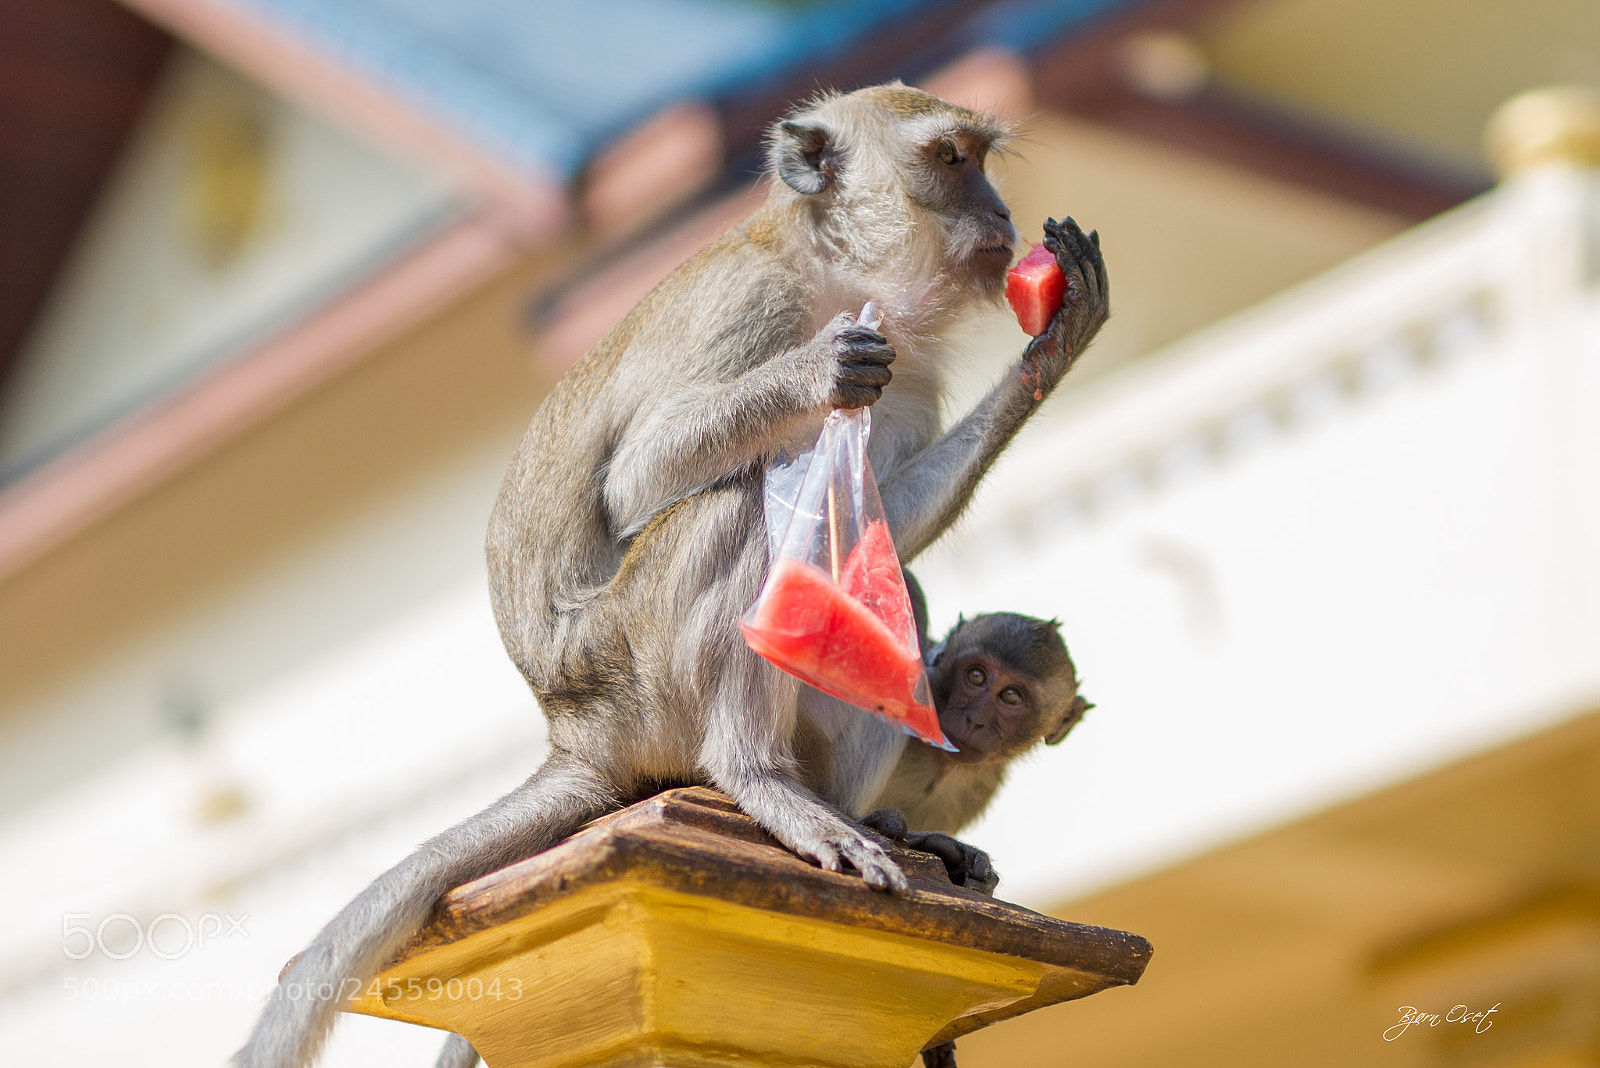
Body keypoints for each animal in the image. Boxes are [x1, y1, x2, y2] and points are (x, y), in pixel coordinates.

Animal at [236, 82, 1108, 1068]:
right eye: (953, 159)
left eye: (983, 161)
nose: (999, 214)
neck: (835, 275)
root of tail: (575, 731)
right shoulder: (749, 307)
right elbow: (641, 477)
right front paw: (817, 369)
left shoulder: (914, 371)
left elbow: (887, 521)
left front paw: (1058, 343)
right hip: (637, 672)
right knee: (729, 508)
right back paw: (758, 781)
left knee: (883, 591)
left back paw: (860, 817)